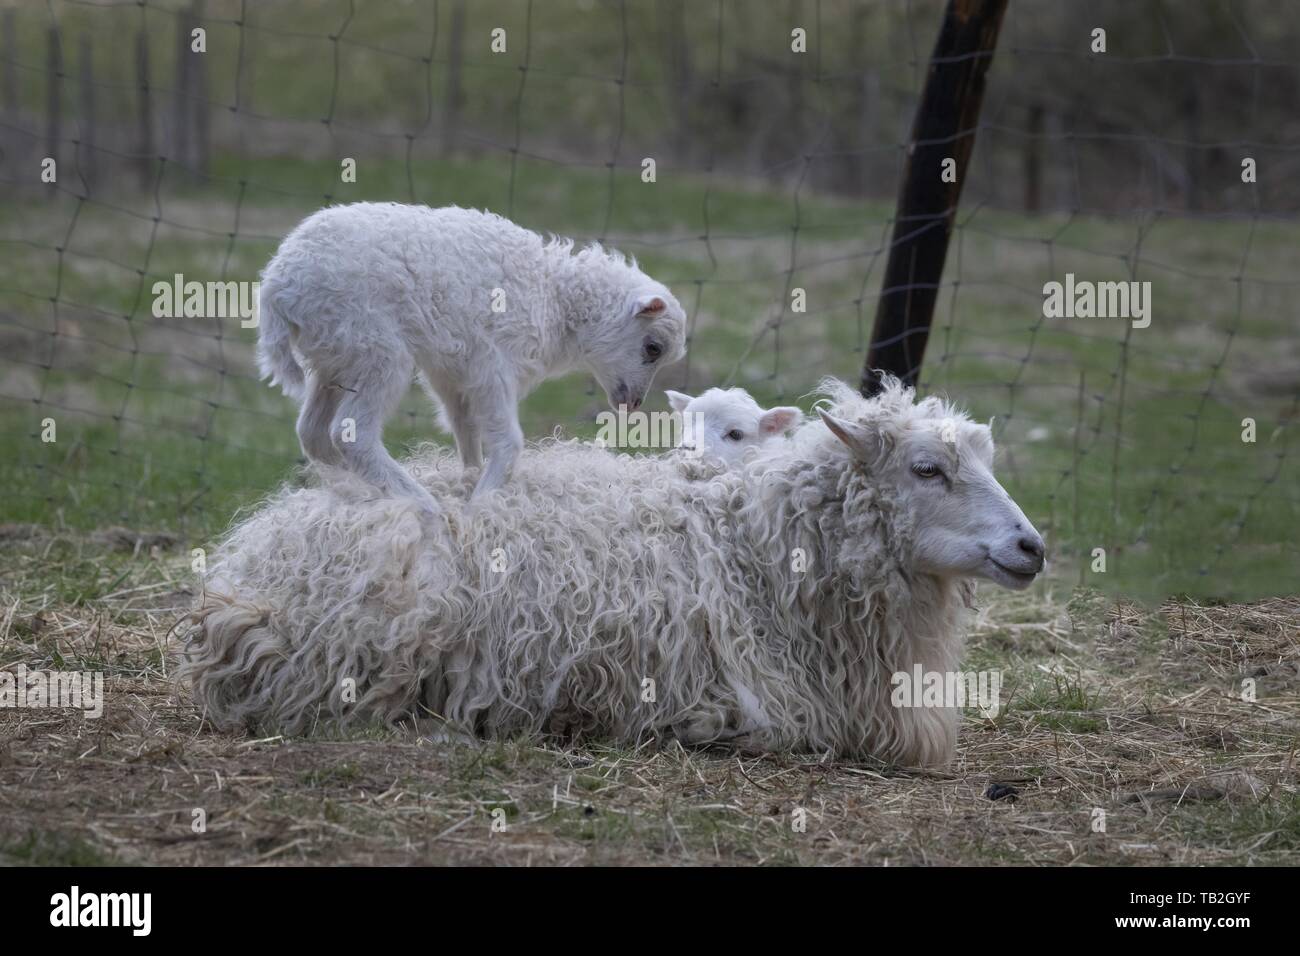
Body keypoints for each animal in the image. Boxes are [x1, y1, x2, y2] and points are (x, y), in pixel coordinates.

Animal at [258, 202, 696, 509]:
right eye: (652, 348)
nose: (633, 403)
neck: (554, 297)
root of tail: (278, 285)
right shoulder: (493, 364)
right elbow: (509, 442)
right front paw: (483, 502)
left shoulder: (452, 372)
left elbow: (465, 428)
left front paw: (470, 479)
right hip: (375, 348)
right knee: (352, 434)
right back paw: (421, 504)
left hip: (334, 355)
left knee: (312, 433)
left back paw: (350, 490)